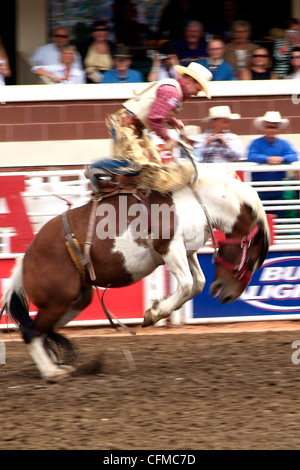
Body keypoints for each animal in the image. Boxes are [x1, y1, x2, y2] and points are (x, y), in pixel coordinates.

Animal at [1, 167, 270, 380]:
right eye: (252, 259)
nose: (228, 295)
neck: (196, 201)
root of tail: (25, 259)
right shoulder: (170, 247)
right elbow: (186, 284)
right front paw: (153, 313)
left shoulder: (187, 250)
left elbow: (197, 283)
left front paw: (158, 308)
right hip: (57, 301)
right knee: (31, 332)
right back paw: (52, 373)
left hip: (74, 300)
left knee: (38, 330)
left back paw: (56, 366)